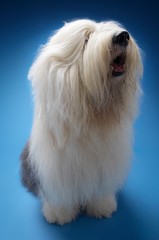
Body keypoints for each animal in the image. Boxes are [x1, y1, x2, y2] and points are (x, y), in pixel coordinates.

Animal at [20, 18, 143, 225]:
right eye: (86, 40)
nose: (123, 36)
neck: (93, 113)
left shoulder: (105, 162)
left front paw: (102, 207)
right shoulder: (56, 168)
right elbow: (60, 193)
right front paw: (60, 214)